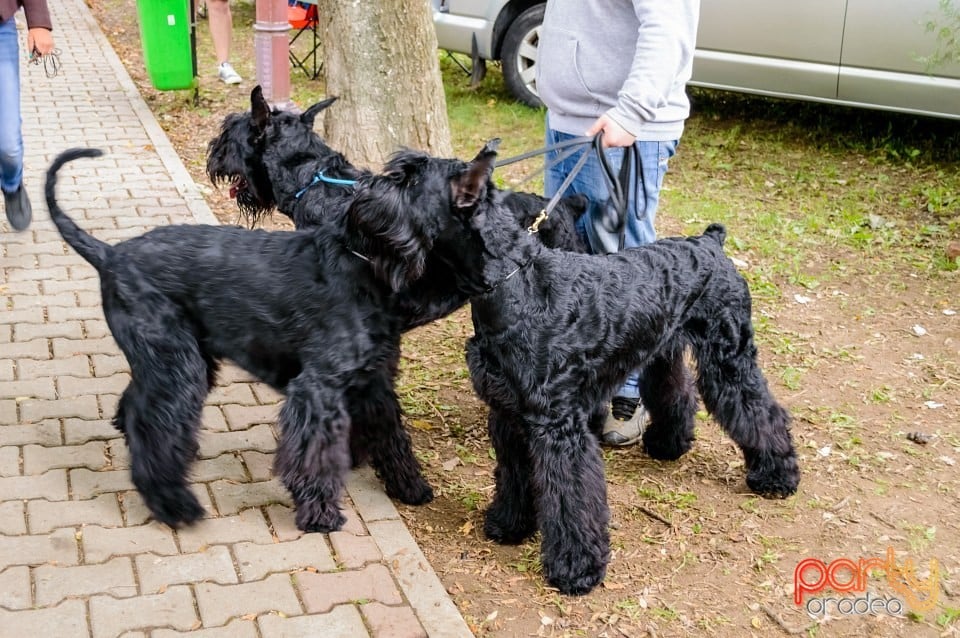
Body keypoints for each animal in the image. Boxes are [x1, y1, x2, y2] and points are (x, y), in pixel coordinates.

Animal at [43, 148, 440, 532]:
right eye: (408, 179)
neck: (360, 263)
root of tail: (111, 255)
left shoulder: (374, 381)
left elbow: (390, 434)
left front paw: (410, 486)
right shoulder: (318, 389)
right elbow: (315, 454)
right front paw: (320, 514)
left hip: (176, 360)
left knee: (138, 407)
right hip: (176, 365)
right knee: (152, 425)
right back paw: (173, 503)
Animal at [348, 140, 800, 596]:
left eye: (407, 181)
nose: (359, 194)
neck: (516, 285)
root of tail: (711, 243)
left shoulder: (558, 426)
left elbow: (570, 495)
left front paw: (576, 567)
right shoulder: (508, 413)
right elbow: (514, 474)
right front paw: (510, 524)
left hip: (729, 358)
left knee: (762, 411)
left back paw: (776, 476)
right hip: (662, 351)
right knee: (678, 392)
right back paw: (668, 445)